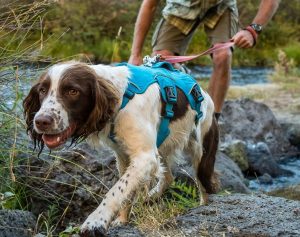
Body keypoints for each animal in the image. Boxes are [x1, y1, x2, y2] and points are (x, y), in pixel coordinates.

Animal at [22, 62, 218, 236]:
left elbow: (115, 191)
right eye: (42, 90)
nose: (41, 121)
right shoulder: (124, 156)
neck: (122, 97)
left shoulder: (144, 157)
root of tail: (205, 92)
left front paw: (96, 221)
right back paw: (150, 197)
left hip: (201, 149)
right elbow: (125, 191)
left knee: (204, 183)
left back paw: (205, 206)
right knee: (168, 176)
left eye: (73, 91)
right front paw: (122, 220)